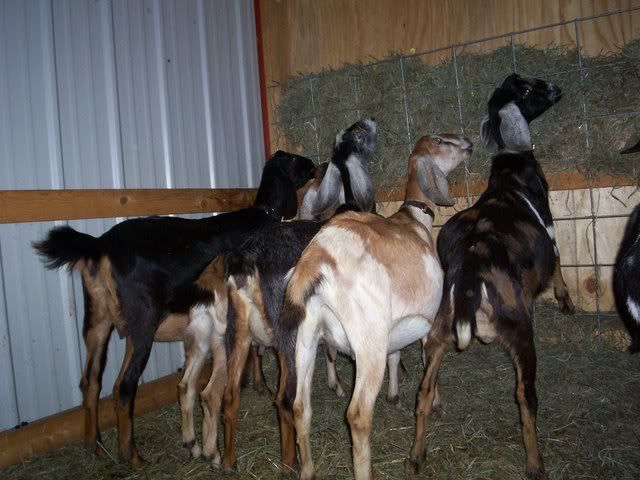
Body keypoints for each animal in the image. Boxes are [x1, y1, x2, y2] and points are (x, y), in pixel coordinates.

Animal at [32, 150, 315, 467]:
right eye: (293, 160)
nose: (314, 165)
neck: (264, 214)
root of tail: (99, 245)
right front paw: (259, 384)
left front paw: (256, 384)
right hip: (142, 324)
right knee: (123, 387)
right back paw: (132, 455)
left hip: (97, 319)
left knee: (90, 380)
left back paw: (95, 445)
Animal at [280, 133, 471, 479]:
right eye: (441, 140)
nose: (468, 144)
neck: (414, 222)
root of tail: (316, 261)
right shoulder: (429, 322)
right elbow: (429, 369)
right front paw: (435, 403)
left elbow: (396, 356)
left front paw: (394, 394)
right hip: (369, 343)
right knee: (357, 415)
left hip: (304, 338)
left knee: (300, 406)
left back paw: (308, 471)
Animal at [409, 74, 576, 480]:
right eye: (528, 90)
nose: (555, 88)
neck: (510, 173)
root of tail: (471, 277)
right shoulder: (549, 226)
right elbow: (558, 258)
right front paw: (566, 300)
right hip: (519, 330)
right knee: (525, 397)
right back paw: (535, 464)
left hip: (439, 330)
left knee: (423, 393)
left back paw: (417, 456)